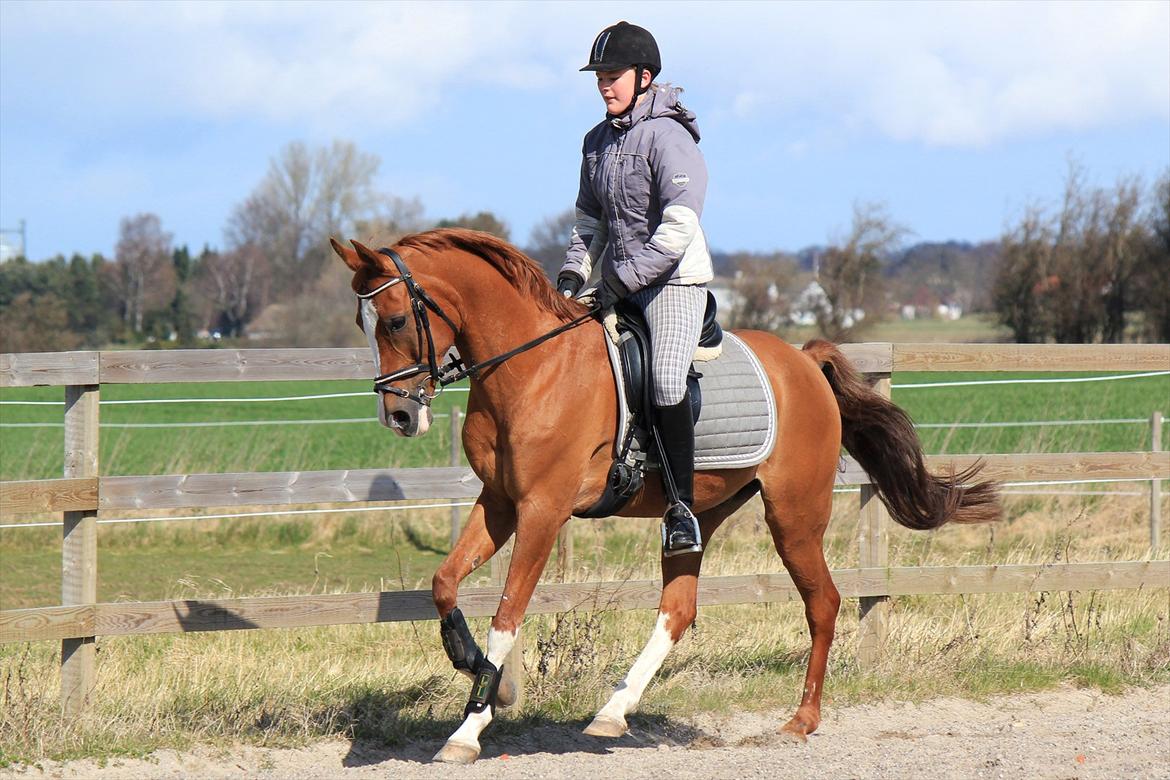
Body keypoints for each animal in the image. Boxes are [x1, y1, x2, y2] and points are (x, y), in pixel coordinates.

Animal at [330, 229, 1000, 764]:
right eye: (362, 323)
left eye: (394, 320)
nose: (398, 416)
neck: (532, 367)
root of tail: (805, 363)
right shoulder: (498, 503)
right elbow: (444, 583)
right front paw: (472, 665)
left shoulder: (542, 510)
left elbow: (507, 615)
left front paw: (470, 726)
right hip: (700, 513)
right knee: (679, 608)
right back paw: (613, 712)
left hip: (794, 518)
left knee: (824, 603)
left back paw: (801, 721)